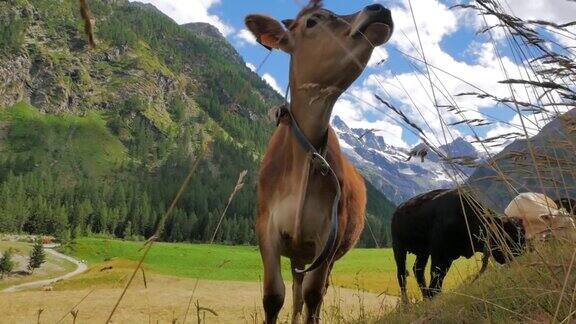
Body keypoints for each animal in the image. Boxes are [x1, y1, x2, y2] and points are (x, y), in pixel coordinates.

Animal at [245, 3, 394, 324]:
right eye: (313, 22)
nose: (379, 8)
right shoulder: (266, 227)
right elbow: (274, 295)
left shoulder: (329, 236)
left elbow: (314, 296)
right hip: (298, 252)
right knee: (296, 291)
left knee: (314, 290)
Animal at [392, 187, 528, 302]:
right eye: (511, 234)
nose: (521, 252)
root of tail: (398, 209)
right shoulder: (440, 255)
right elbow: (437, 275)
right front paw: (433, 296)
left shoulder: (448, 257)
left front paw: (432, 297)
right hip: (399, 249)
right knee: (402, 275)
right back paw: (406, 304)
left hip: (423, 252)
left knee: (418, 269)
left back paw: (425, 297)